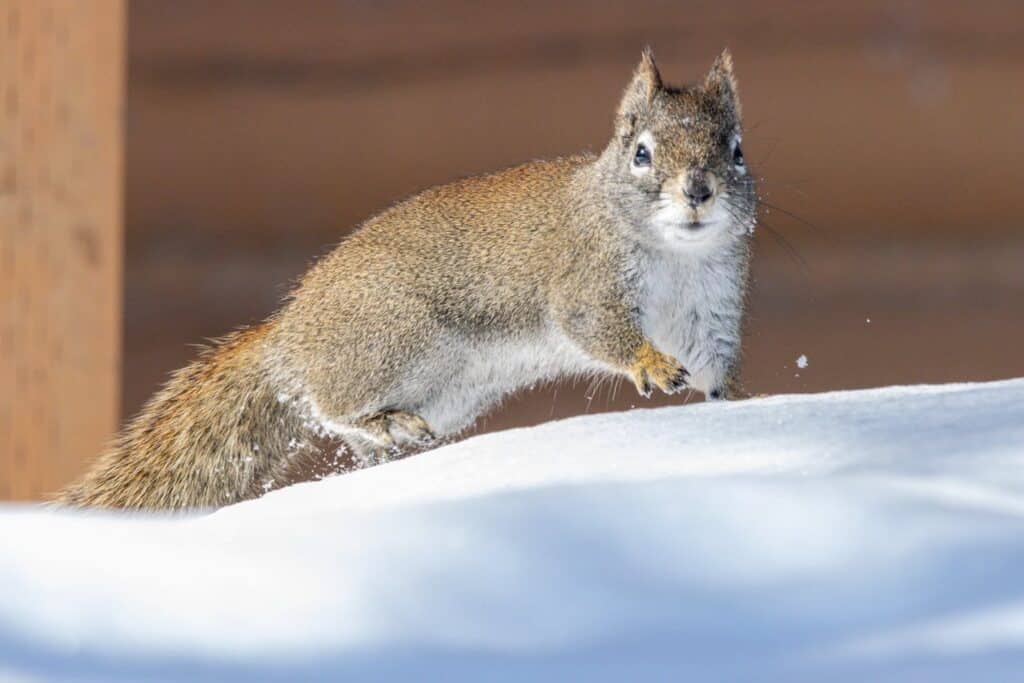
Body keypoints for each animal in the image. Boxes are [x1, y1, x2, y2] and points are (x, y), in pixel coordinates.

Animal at [57, 48, 757, 511]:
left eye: (737, 150)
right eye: (641, 153)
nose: (698, 192)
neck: (678, 257)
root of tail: (292, 333)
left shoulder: (710, 307)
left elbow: (716, 366)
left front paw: (742, 406)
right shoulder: (587, 279)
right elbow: (600, 328)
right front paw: (652, 365)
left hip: (446, 390)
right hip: (397, 341)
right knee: (329, 404)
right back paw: (380, 422)